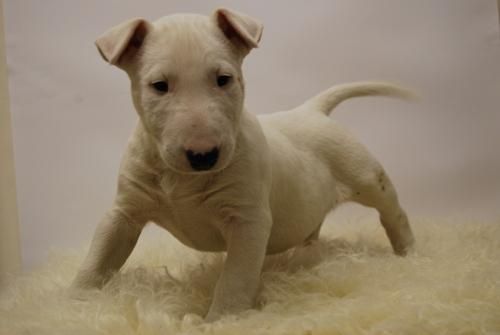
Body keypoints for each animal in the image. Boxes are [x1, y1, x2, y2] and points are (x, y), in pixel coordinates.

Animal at [70, 7, 414, 322]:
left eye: (224, 79)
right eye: (159, 85)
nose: (203, 155)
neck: (183, 179)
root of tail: (311, 110)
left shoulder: (248, 220)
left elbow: (235, 279)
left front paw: (221, 321)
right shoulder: (124, 212)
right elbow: (98, 258)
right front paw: (74, 301)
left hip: (365, 175)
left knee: (392, 210)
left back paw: (408, 252)